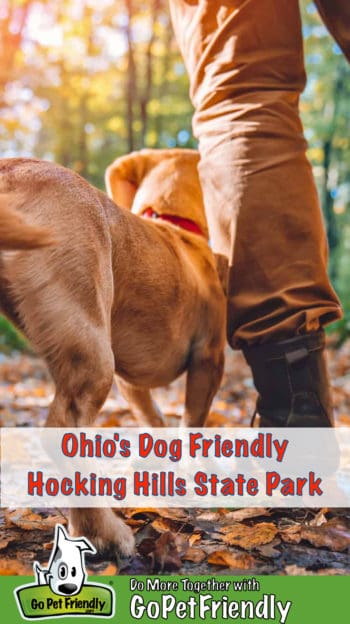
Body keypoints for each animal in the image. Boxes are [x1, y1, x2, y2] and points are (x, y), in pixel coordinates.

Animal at [0, 151, 226, 556]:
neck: (172, 225)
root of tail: (11, 168)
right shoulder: (209, 359)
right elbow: (192, 427)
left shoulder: (131, 383)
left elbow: (156, 421)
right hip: (94, 355)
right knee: (63, 434)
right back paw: (103, 530)